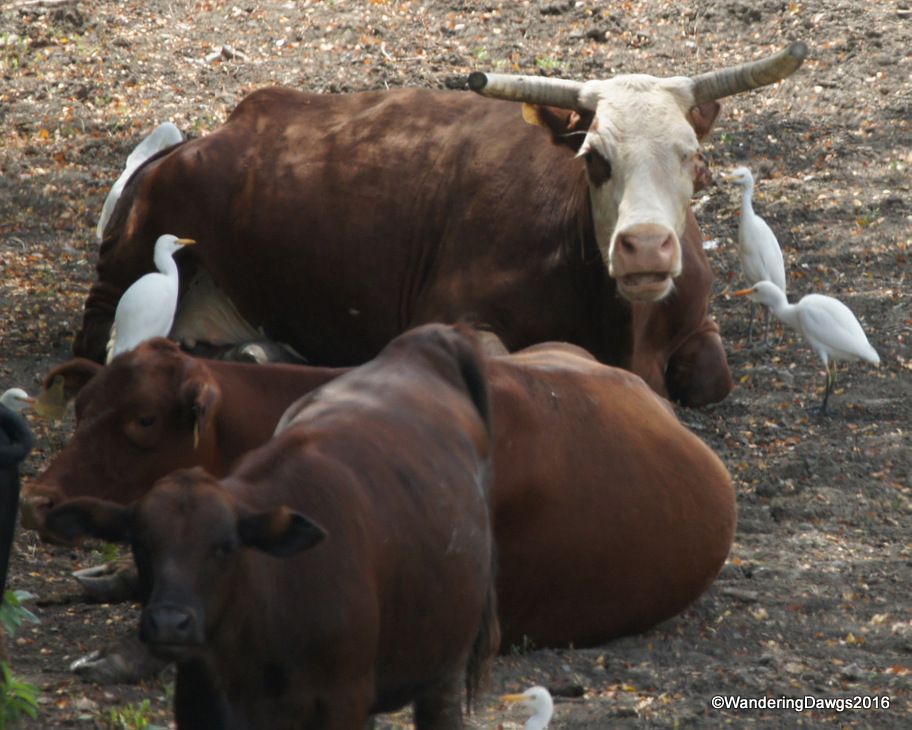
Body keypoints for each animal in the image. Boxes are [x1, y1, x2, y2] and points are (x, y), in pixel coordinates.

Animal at [45, 324, 500, 730]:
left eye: (145, 420)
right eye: (140, 544)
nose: (170, 622)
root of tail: (427, 340)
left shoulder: (342, 701)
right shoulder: (198, 703)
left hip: (444, 663)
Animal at [74, 43, 807, 407]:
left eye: (695, 159)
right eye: (595, 159)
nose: (646, 248)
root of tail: (212, 134)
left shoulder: (697, 323)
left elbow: (711, 379)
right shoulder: (451, 313)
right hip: (132, 258)